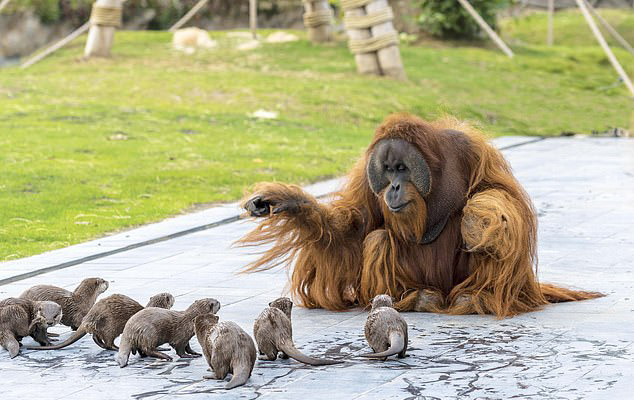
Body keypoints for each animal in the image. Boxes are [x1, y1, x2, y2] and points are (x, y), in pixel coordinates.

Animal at [26, 290, 174, 350]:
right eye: (170, 296)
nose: (172, 296)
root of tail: (90, 316)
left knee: (96, 337)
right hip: (111, 325)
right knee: (108, 341)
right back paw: (115, 348)